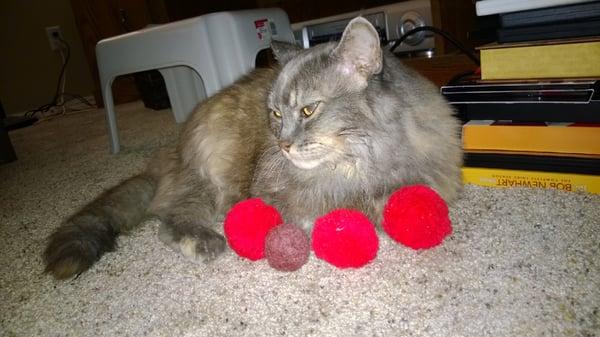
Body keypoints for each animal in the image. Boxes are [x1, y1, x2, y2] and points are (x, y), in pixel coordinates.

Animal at [44, 17, 462, 278]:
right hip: (212, 183)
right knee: (169, 218)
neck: (361, 158)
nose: (283, 144)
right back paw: (204, 242)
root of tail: (172, 152)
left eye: (308, 110)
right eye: (275, 113)